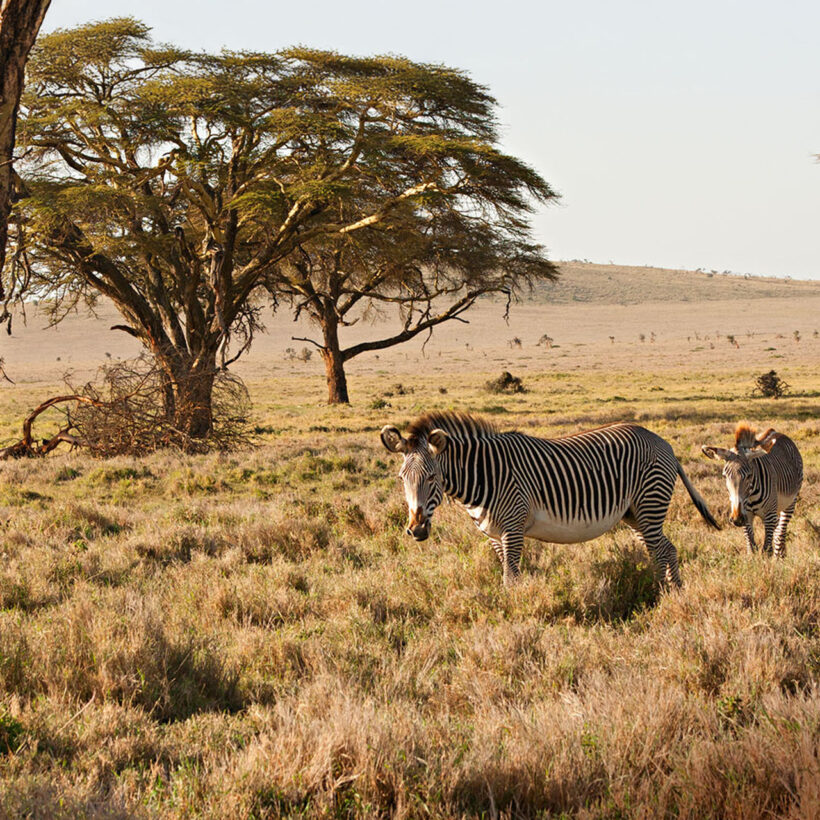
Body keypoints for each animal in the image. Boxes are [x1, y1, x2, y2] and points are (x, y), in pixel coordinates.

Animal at [380, 412, 720, 587]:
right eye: (401, 478)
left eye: (432, 478)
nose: (416, 530)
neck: (484, 475)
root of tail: (664, 443)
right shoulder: (493, 536)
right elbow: (509, 573)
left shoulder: (513, 528)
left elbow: (511, 577)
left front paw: (514, 615)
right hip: (635, 514)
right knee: (662, 550)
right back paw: (664, 592)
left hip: (650, 505)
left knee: (664, 550)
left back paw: (665, 595)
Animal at [702, 423, 803, 557]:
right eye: (724, 476)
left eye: (749, 476)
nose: (737, 518)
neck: (751, 496)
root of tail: (776, 432)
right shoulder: (747, 517)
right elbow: (751, 548)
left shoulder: (769, 516)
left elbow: (766, 550)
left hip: (790, 503)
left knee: (780, 534)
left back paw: (780, 557)